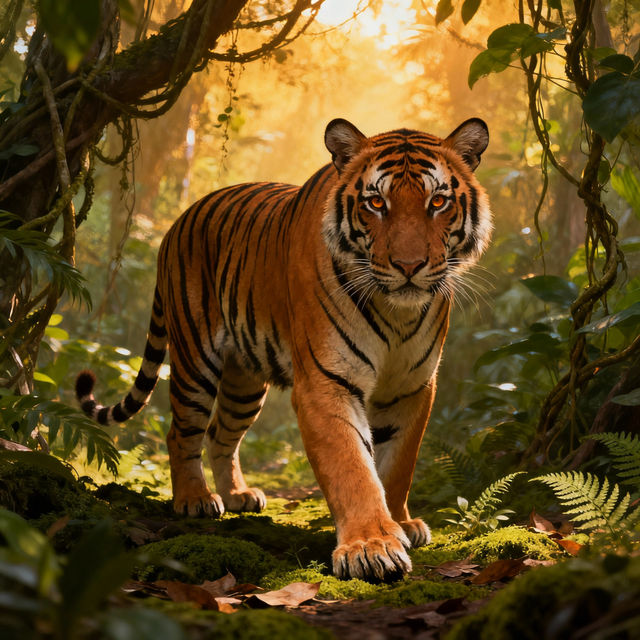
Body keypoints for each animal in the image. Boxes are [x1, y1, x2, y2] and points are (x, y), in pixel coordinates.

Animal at [76, 117, 491, 582]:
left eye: (437, 201)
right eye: (376, 203)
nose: (408, 266)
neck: (396, 313)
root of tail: (178, 220)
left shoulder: (412, 387)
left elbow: (397, 464)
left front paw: (400, 523)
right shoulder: (326, 383)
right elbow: (353, 467)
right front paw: (371, 547)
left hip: (243, 383)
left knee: (220, 433)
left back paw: (238, 495)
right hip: (194, 361)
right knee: (181, 430)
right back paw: (194, 499)